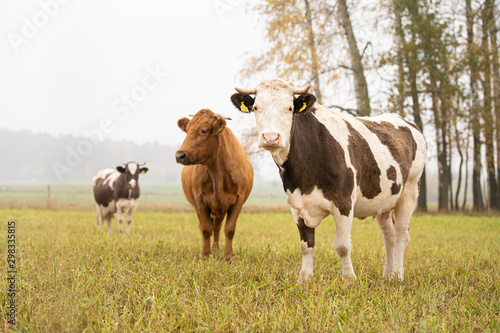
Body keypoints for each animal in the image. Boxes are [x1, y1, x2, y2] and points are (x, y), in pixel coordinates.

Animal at [176, 108, 254, 260]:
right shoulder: (199, 200)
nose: (179, 155)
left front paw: (228, 257)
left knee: (217, 226)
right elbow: (206, 229)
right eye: (187, 130)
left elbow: (229, 229)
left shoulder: (238, 200)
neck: (217, 172)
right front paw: (206, 255)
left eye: (204, 130)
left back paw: (217, 249)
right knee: (205, 226)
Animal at [232, 79, 428, 282]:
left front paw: (349, 279)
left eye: (289, 108)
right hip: (384, 201)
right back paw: (387, 275)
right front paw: (305, 278)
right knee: (388, 234)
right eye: (256, 107)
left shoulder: (344, 201)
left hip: (410, 190)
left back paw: (398, 275)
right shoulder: (296, 204)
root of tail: (405, 121)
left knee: (401, 234)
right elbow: (306, 245)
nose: (271, 138)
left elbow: (342, 245)